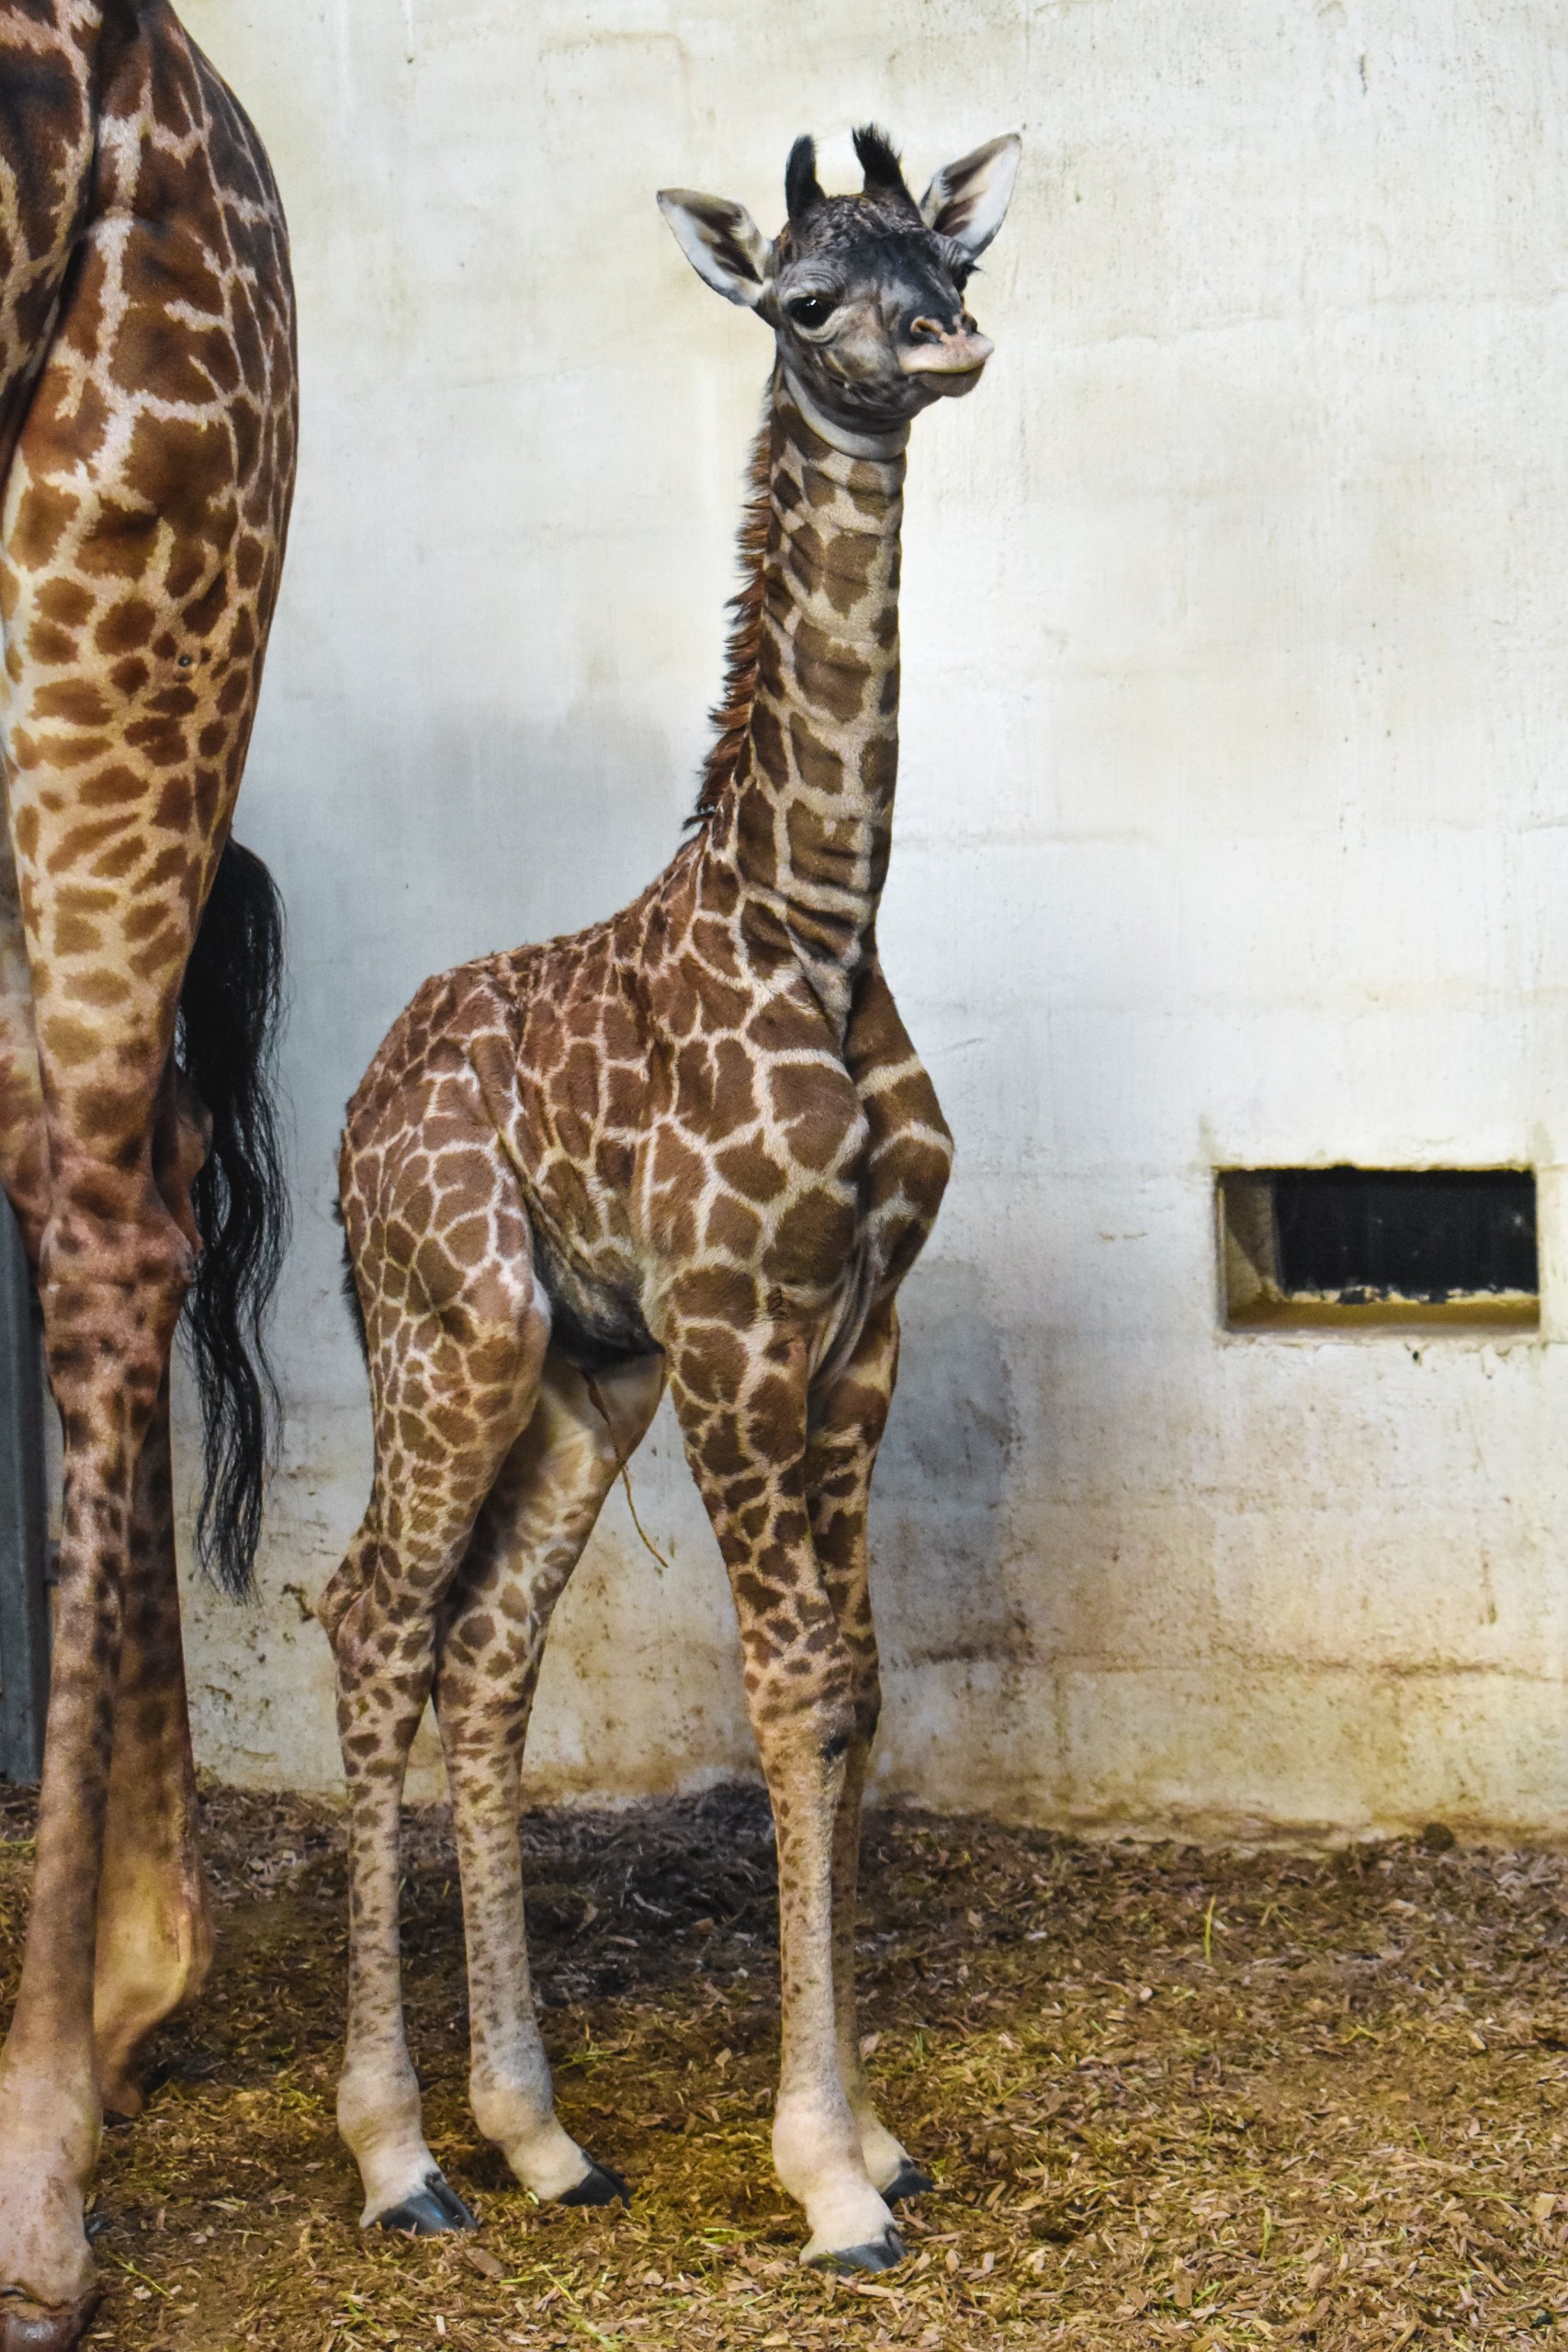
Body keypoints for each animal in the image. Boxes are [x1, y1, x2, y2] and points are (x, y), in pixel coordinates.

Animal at [324, 129, 1024, 2277]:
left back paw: (538, 2139)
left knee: (482, 1646)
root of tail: (348, 1121)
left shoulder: (857, 1330)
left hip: (581, 1372)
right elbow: (784, 1695)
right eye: (801, 298)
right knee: (369, 1613)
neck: (814, 922)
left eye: (947, 254)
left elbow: (852, 1696)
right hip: (453, 1331)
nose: (939, 344)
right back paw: (393, 2155)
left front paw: (872, 2134)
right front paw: (825, 2173)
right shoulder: (737, 1324)